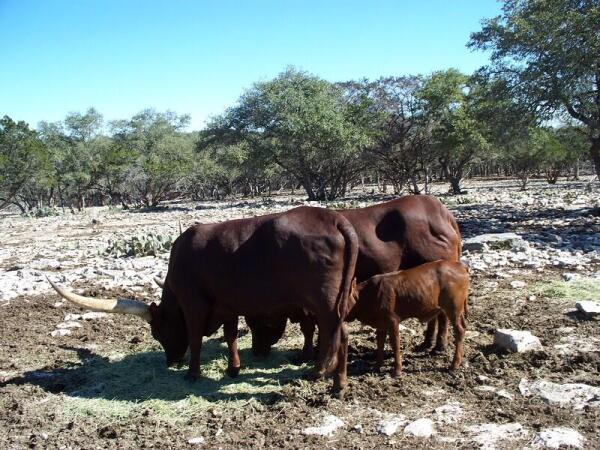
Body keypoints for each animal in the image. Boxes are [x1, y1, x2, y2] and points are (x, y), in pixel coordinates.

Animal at [50, 206, 356, 396]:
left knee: (338, 333)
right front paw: (233, 369)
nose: (171, 361)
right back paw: (329, 378)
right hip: (330, 303)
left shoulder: (193, 305)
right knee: (337, 333)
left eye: (158, 332)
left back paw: (330, 379)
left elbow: (196, 338)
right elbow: (231, 335)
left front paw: (192, 374)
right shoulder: (227, 305)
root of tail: (333, 219)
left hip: (324, 302)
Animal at [246, 195, 462, 356]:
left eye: (257, 321)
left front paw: (309, 352)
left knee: (442, 315)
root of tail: (441, 212)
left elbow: (310, 327)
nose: (256, 351)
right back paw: (427, 342)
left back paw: (439, 346)